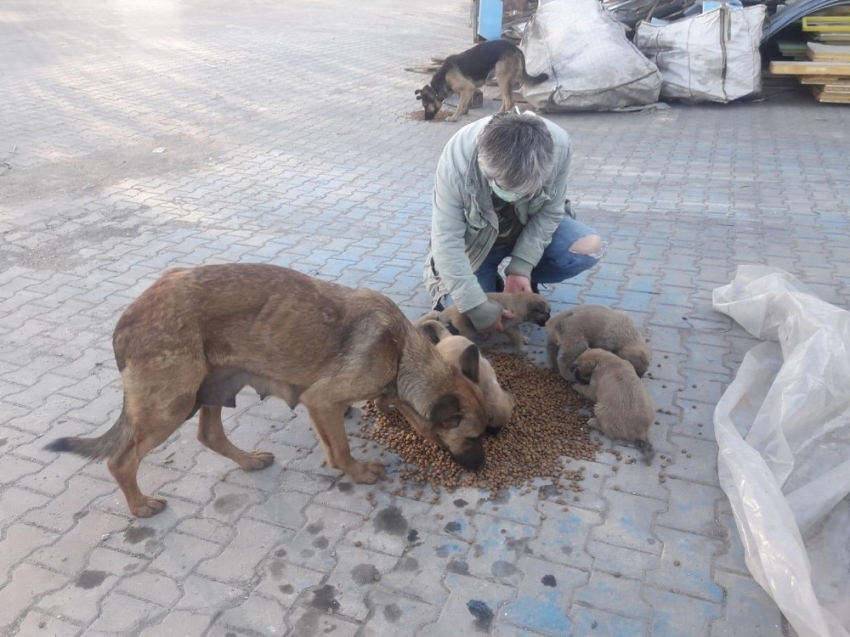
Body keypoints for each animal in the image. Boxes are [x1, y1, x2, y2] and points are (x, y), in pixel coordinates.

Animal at [43, 264, 486, 516]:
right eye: (472, 438)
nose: (482, 469)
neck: (400, 353)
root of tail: (127, 318)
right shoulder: (320, 401)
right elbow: (340, 449)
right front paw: (358, 472)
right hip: (172, 404)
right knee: (121, 461)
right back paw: (139, 506)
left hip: (214, 387)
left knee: (209, 435)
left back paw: (249, 461)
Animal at [414, 39, 548, 121]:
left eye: (425, 105)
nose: (425, 118)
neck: (443, 78)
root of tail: (517, 49)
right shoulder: (468, 90)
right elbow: (465, 102)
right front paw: (464, 112)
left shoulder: (467, 88)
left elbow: (459, 104)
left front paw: (454, 117)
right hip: (504, 81)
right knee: (506, 100)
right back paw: (499, 113)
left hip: (502, 79)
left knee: (510, 101)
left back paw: (504, 116)